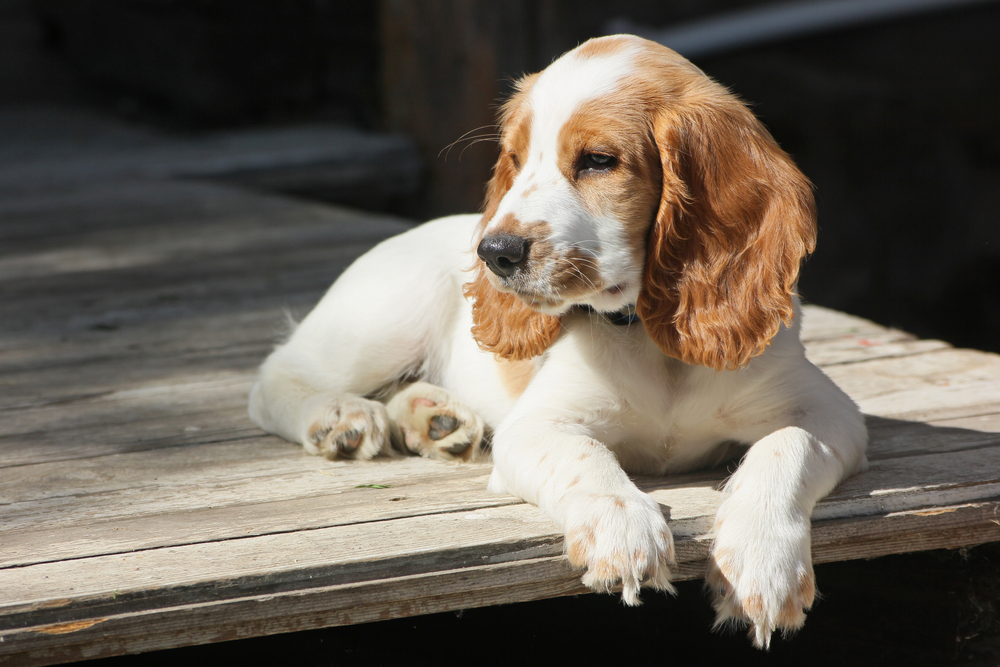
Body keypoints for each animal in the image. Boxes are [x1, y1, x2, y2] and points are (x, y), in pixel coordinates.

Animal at [248, 35, 868, 648]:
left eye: (598, 160)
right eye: (515, 160)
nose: (494, 252)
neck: (645, 333)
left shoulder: (829, 412)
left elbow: (787, 444)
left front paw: (763, 563)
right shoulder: (534, 427)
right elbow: (585, 455)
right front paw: (623, 529)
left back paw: (437, 419)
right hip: (387, 314)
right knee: (274, 378)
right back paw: (339, 418)